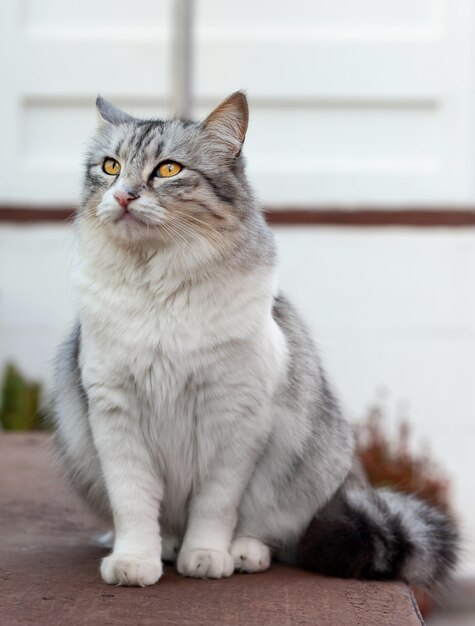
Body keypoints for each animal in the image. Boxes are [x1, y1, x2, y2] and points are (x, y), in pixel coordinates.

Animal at [54, 91, 460, 584]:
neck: (157, 289)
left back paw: (244, 554)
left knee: (271, 533)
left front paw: (206, 557)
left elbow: (215, 506)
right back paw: (167, 545)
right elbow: (133, 503)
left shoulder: (235, 419)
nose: (122, 195)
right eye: (111, 167)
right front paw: (136, 561)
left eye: (168, 170)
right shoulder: (115, 414)